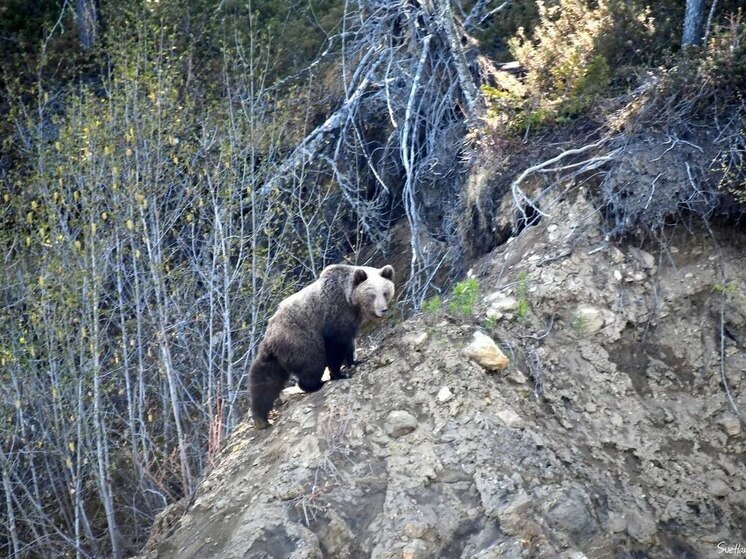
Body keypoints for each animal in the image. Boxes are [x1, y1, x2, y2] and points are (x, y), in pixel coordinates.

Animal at [248, 264, 392, 430]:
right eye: (372, 295)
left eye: (385, 292)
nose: (383, 310)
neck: (351, 302)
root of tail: (271, 337)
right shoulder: (334, 313)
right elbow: (336, 345)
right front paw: (339, 374)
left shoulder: (351, 319)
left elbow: (348, 342)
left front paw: (354, 361)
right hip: (300, 339)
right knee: (313, 362)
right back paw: (315, 384)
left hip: (273, 355)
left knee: (265, 380)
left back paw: (260, 418)